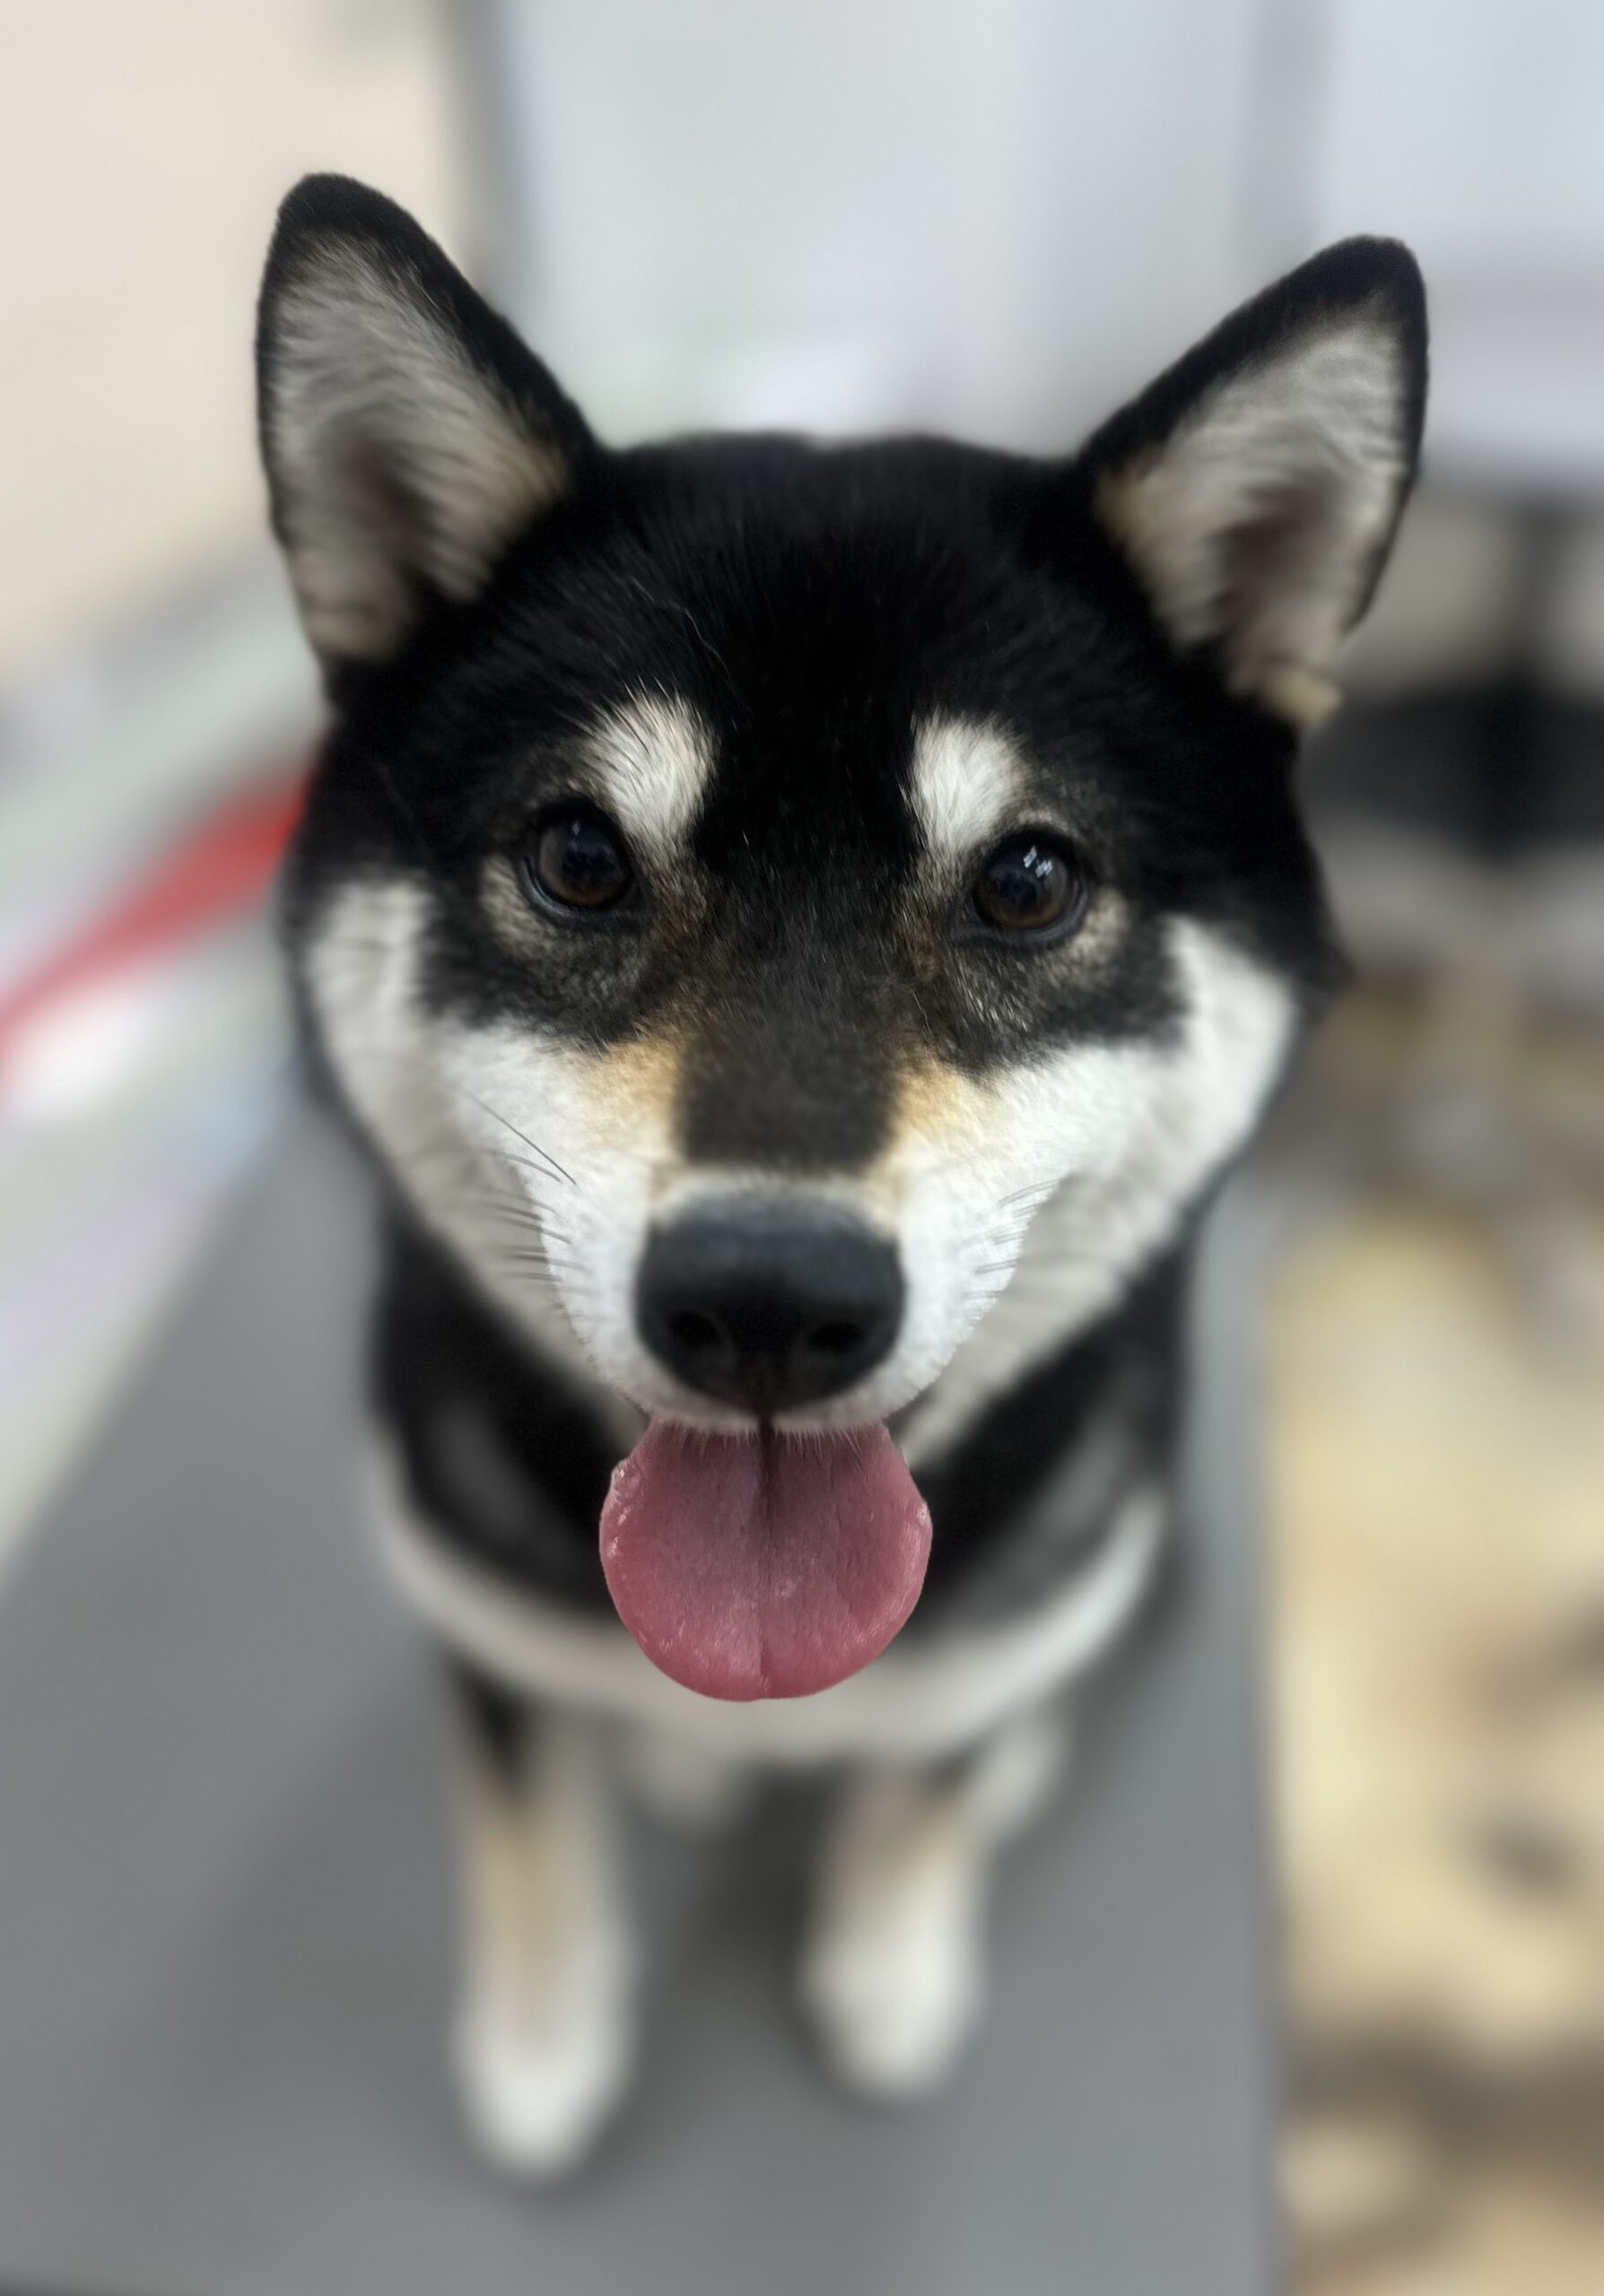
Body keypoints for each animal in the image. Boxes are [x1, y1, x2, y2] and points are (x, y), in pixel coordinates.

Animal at [255, 175, 1426, 2174]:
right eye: (579, 858)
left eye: (1026, 880)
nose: (768, 1299)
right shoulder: (480, 1622)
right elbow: (526, 1832)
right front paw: (546, 2037)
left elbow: (922, 1785)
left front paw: (889, 1962)